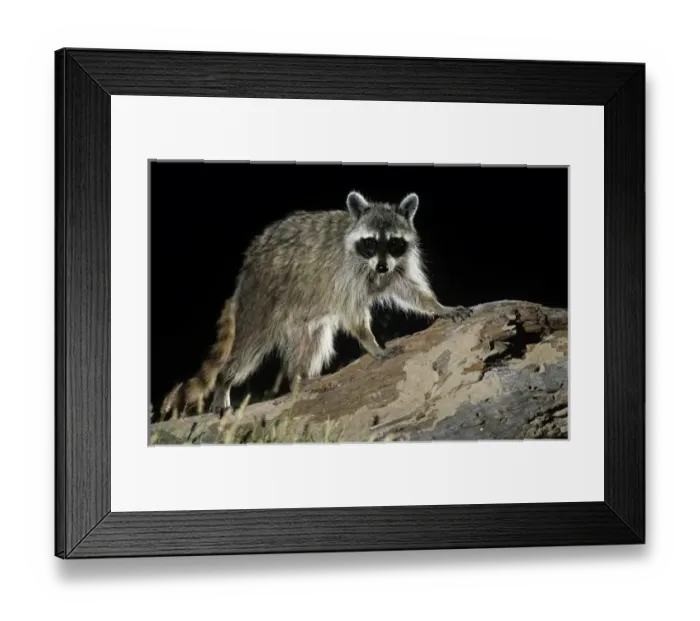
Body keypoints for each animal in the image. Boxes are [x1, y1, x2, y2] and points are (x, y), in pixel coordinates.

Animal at [160, 190, 472, 417]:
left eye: (394, 242)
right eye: (370, 242)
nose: (382, 267)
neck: (372, 264)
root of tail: (244, 275)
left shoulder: (397, 265)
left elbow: (410, 290)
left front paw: (438, 306)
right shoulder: (344, 274)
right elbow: (353, 313)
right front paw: (371, 342)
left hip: (303, 321)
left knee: (312, 345)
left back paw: (300, 379)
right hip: (262, 302)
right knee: (249, 348)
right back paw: (225, 382)